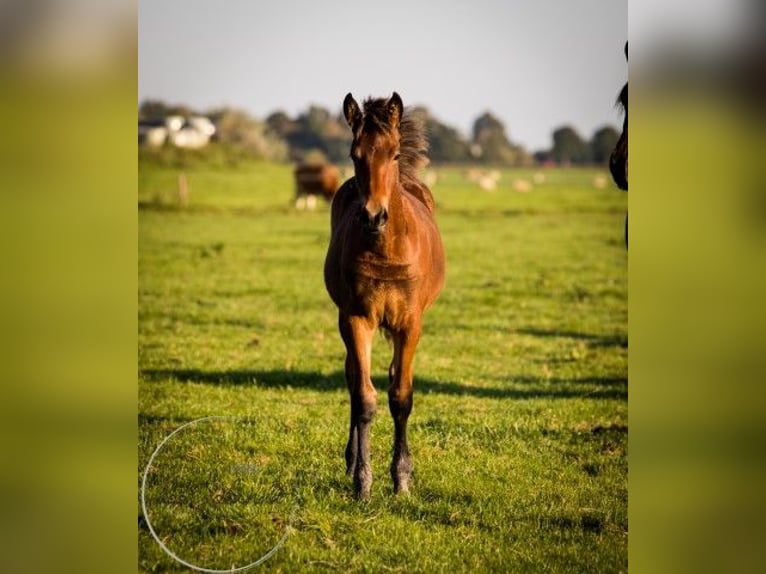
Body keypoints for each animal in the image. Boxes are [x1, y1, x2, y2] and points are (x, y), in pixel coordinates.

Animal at [322, 92, 444, 502]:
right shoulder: (356, 318)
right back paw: (350, 461)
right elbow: (364, 398)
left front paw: (401, 478)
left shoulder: (409, 323)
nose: (373, 216)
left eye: (393, 154)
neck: (384, 247)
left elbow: (400, 396)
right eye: (354, 153)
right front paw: (363, 482)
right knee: (353, 379)